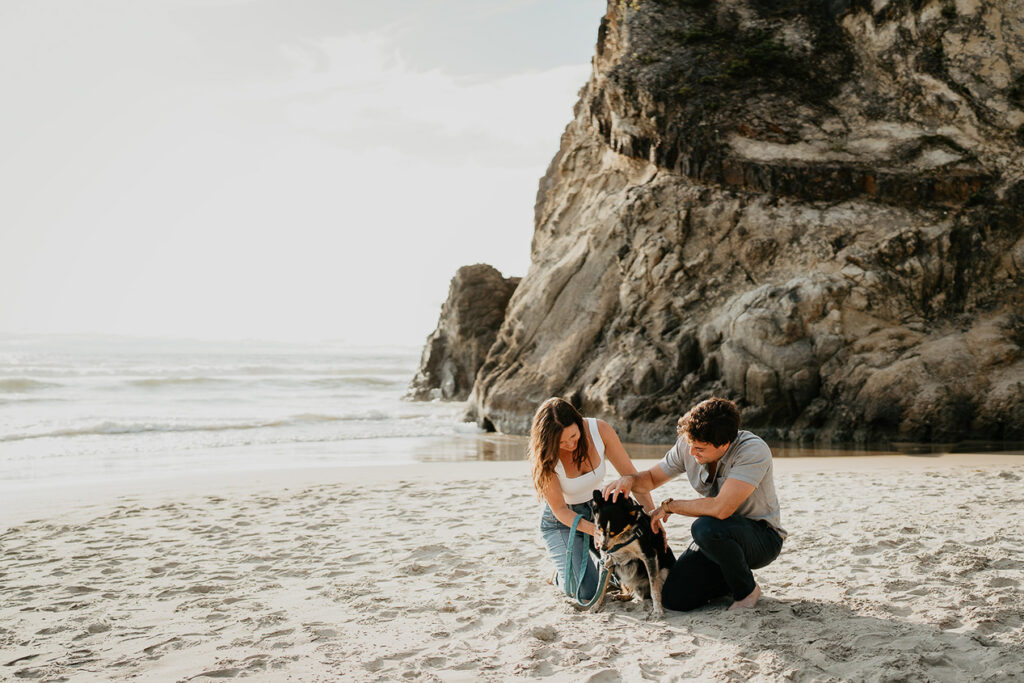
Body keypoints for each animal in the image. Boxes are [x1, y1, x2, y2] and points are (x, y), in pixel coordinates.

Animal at [589, 489, 675, 618]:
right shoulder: (607, 560)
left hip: (664, 571)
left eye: (615, 532)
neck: (622, 540)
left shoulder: (649, 555)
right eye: (599, 528)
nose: (603, 548)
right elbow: (600, 589)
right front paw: (595, 606)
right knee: (630, 589)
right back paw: (623, 596)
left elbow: (654, 590)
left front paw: (657, 610)